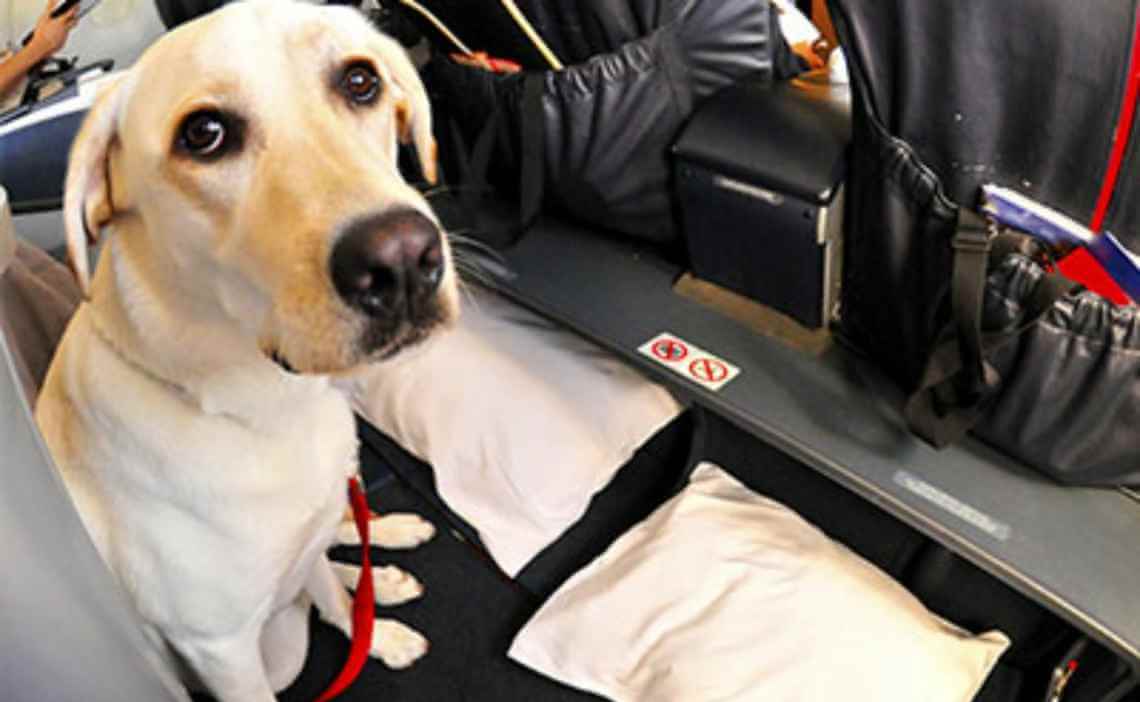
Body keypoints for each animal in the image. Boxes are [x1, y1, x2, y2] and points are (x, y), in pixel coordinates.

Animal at [33, 2, 458, 697]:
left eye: (360, 81)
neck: (268, 408)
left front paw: (379, 637)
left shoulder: (305, 542)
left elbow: (337, 599)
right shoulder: (222, 652)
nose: (401, 262)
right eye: (204, 133)